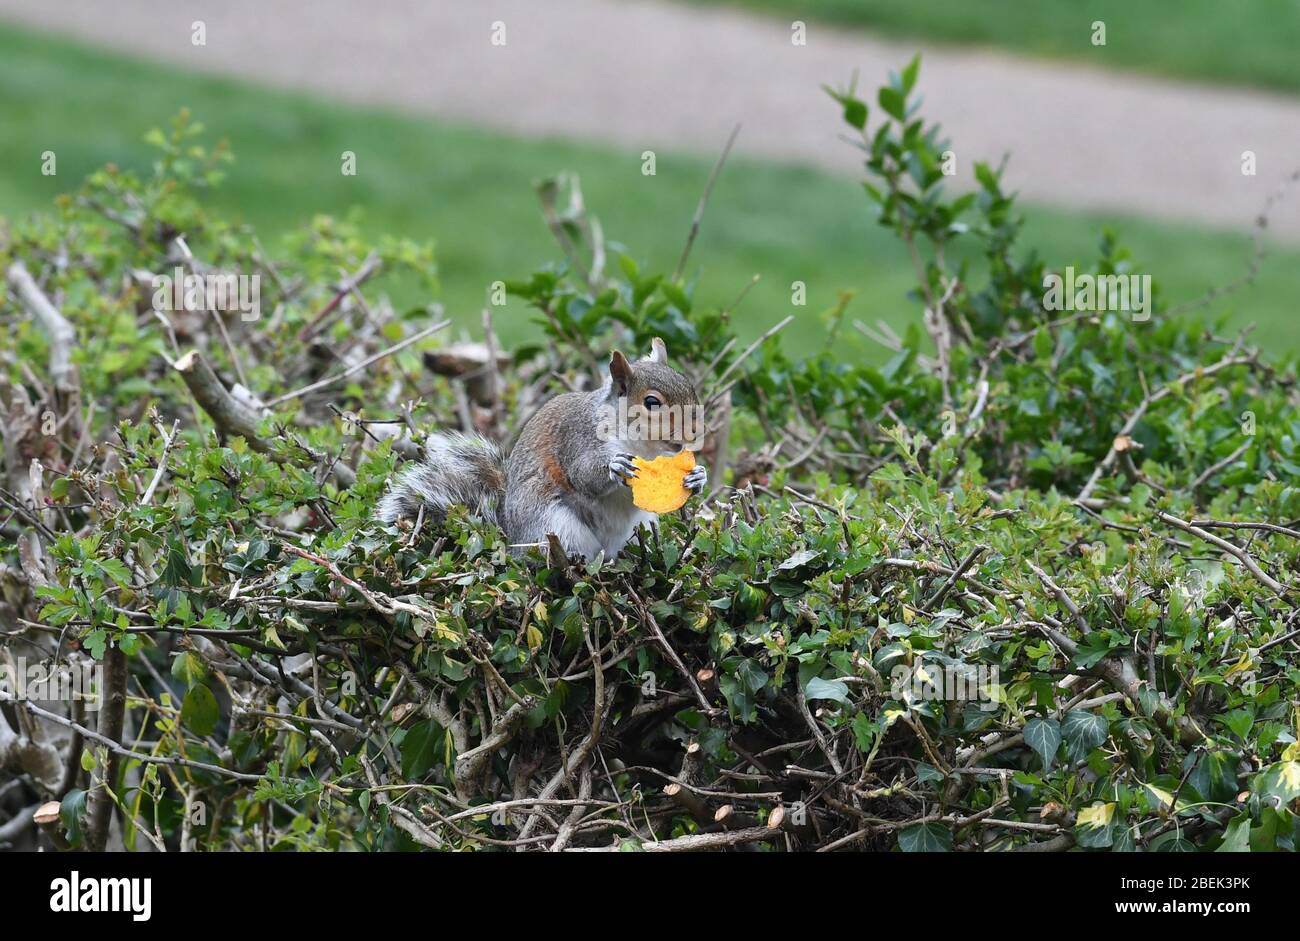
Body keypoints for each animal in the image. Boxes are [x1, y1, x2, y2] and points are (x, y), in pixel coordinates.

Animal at [377, 337, 707, 559]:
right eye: (652, 402)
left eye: (690, 387)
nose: (696, 431)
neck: (647, 446)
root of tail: (511, 538)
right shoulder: (578, 438)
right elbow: (583, 476)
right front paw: (615, 466)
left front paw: (698, 477)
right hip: (556, 527)